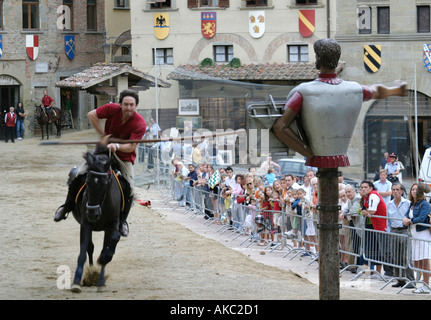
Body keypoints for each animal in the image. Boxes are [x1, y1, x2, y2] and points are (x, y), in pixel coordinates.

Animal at [71, 144, 124, 292]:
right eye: (87, 181)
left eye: (105, 184)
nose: (92, 213)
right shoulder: (85, 224)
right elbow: (83, 253)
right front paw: (76, 281)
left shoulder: (112, 225)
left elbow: (113, 240)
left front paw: (101, 279)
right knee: (90, 247)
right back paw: (90, 271)